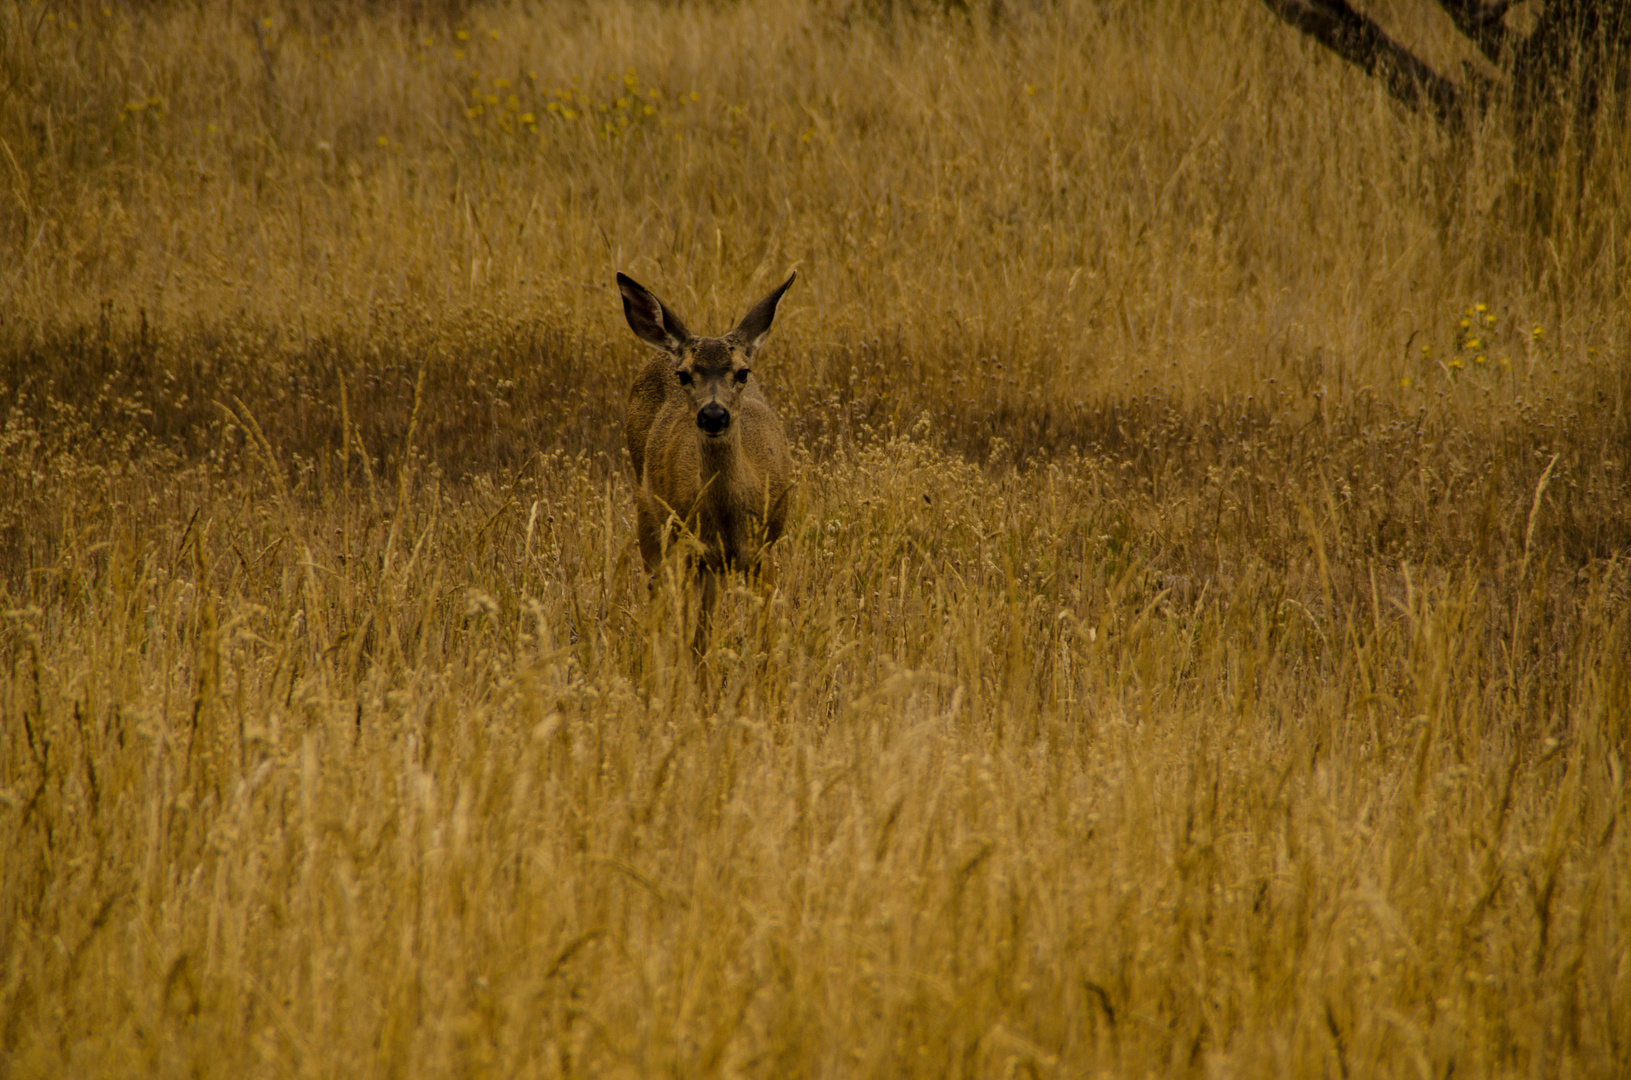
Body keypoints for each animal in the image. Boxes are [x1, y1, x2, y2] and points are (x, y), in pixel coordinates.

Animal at [616, 275, 795, 655]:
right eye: (684, 375)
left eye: (743, 372)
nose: (713, 414)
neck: (728, 522)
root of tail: (662, 350)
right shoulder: (689, 550)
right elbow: (690, 637)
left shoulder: (763, 551)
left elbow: (763, 640)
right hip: (650, 517)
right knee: (658, 596)